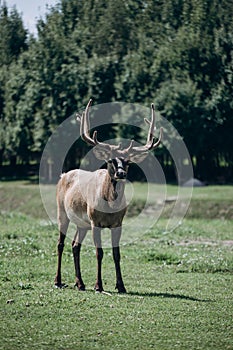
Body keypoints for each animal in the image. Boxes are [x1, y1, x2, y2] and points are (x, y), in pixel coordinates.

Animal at [54, 99, 162, 292]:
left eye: (128, 162)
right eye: (111, 160)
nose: (121, 173)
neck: (109, 206)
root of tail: (63, 175)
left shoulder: (118, 223)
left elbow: (116, 253)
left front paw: (121, 286)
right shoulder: (95, 221)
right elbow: (99, 252)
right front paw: (98, 285)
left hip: (82, 223)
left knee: (75, 245)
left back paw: (80, 283)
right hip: (62, 212)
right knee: (60, 244)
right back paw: (58, 281)